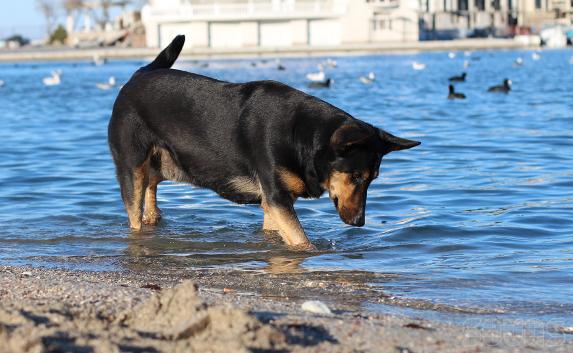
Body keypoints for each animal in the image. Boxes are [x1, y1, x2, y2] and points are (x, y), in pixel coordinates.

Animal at [108, 35, 420, 249]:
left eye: (373, 179)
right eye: (355, 176)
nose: (359, 223)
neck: (304, 138)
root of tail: (139, 74)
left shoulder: (274, 202)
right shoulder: (277, 197)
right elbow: (301, 241)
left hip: (160, 165)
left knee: (152, 191)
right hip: (132, 168)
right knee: (135, 211)